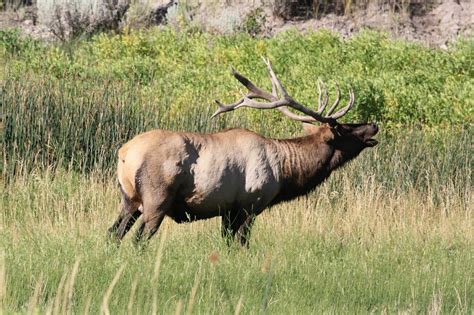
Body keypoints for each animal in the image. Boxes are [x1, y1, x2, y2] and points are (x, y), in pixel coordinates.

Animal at [107, 58, 378, 247]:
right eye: (344, 128)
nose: (373, 125)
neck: (285, 172)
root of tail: (124, 154)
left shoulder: (228, 209)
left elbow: (227, 243)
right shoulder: (251, 203)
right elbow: (241, 243)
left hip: (129, 199)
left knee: (113, 234)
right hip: (157, 198)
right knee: (138, 238)